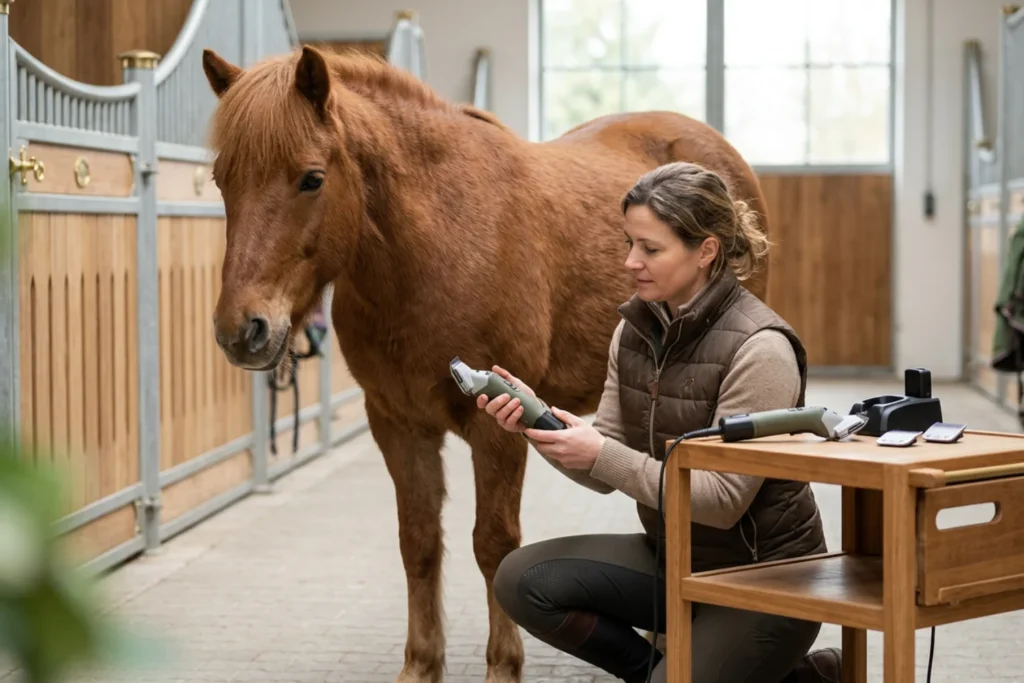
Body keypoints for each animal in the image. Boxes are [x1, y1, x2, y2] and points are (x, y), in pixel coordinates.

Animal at [201, 45, 770, 683]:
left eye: (311, 179)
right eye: (223, 179)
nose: (241, 331)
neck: (433, 247)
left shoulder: (497, 426)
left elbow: (494, 545)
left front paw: (503, 666)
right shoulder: (397, 425)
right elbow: (419, 542)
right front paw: (420, 666)